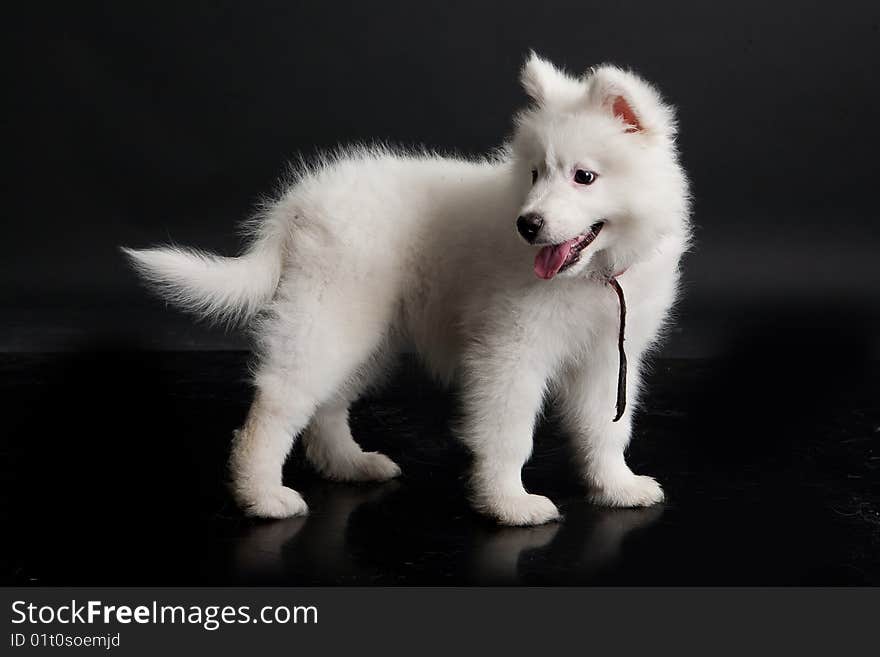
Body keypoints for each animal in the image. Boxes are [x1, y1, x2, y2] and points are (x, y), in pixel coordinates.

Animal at [124, 56, 692, 528]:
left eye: (584, 177)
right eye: (534, 174)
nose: (527, 225)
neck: (595, 274)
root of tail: (299, 202)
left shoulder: (609, 355)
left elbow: (606, 429)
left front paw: (616, 487)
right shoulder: (510, 349)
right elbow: (509, 431)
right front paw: (508, 504)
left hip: (365, 333)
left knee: (327, 406)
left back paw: (350, 464)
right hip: (330, 315)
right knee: (278, 404)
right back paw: (261, 496)